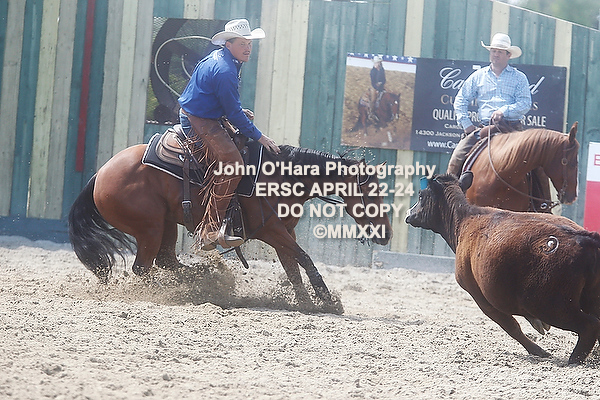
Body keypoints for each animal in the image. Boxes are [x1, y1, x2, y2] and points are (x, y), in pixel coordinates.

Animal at [68, 142, 393, 314]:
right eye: (372, 192)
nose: (387, 233)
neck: (280, 177)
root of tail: (100, 174)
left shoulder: (285, 232)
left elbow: (293, 268)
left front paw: (303, 303)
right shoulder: (270, 230)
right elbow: (305, 260)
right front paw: (326, 300)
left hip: (166, 224)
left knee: (166, 261)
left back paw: (204, 279)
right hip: (149, 228)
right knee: (143, 268)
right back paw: (179, 291)